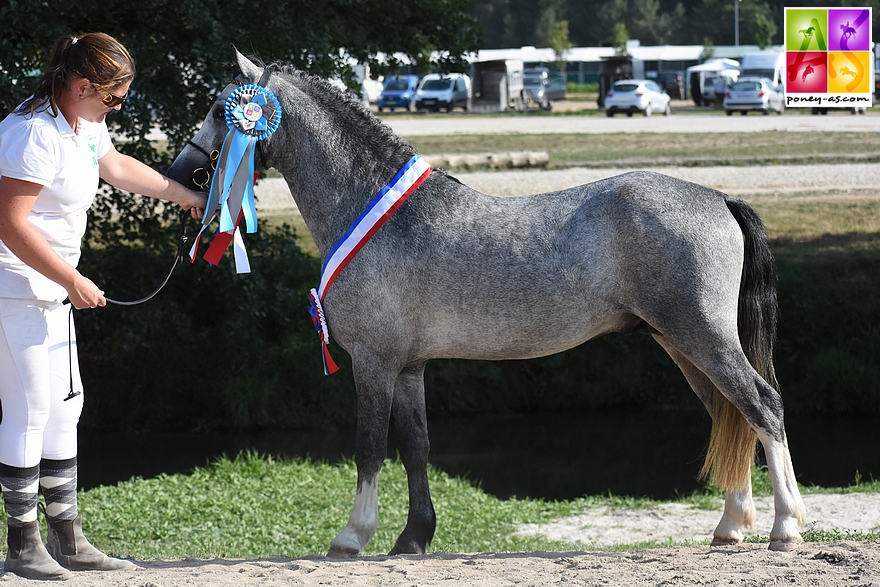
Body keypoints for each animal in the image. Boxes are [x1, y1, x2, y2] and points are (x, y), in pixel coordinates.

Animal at [168, 49, 808, 556]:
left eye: (223, 108)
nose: (184, 171)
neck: (375, 209)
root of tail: (718, 197)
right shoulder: (410, 366)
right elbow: (417, 448)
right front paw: (414, 537)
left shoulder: (373, 362)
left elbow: (369, 447)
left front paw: (353, 536)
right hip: (681, 344)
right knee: (730, 413)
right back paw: (730, 527)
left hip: (703, 337)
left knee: (764, 406)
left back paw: (785, 526)